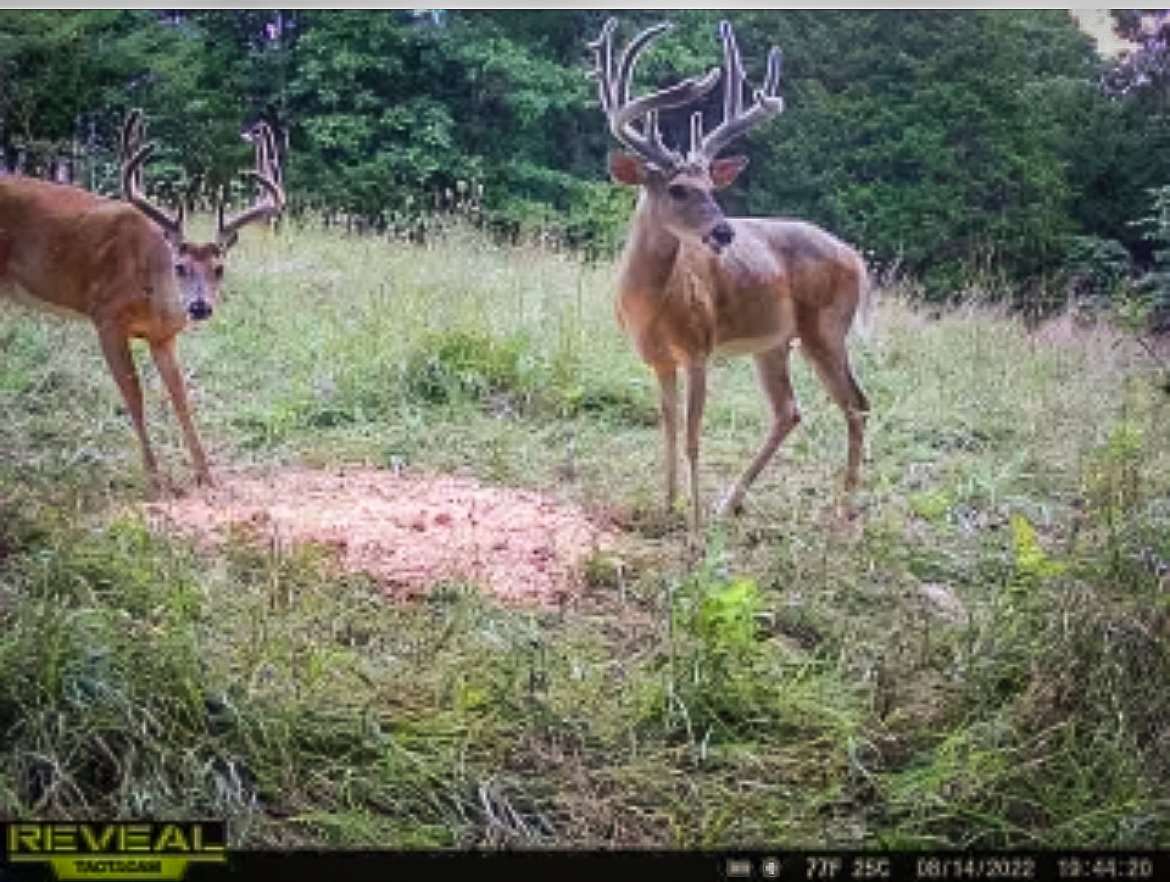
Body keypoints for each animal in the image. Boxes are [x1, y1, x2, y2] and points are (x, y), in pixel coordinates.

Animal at [0, 108, 283, 495]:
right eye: (179, 267)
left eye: (219, 268)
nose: (199, 306)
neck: (150, 289)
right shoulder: (105, 316)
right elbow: (134, 396)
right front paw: (155, 478)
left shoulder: (163, 337)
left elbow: (181, 398)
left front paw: (206, 475)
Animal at [589, 17, 875, 533]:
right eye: (678, 188)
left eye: (710, 185)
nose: (724, 231)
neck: (650, 304)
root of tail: (855, 258)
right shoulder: (658, 360)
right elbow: (668, 430)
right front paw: (666, 507)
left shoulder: (700, 348)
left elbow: (692, 435)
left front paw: (695, 527)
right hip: (774, 342)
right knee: (789, 411)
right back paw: (732, 501)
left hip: (826, 329)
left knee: (856, 404)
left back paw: (842, 507)